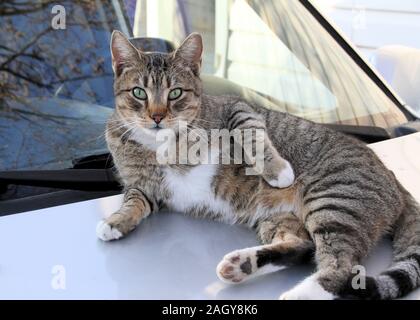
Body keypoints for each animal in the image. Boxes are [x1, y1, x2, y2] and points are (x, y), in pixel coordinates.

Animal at [97, 31, 420, 298]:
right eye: (139, 92)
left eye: (175, 93)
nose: (157, 116)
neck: (162, 143)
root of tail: (394, 179)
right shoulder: (145, 187)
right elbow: (134, 202)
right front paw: (115, 222)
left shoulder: (237, 107)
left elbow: (251, 133)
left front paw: (278, 171)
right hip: (281, 217)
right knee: (302, 246)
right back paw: (242, 265)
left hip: (335, 200)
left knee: (343, 267)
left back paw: (298, 294)